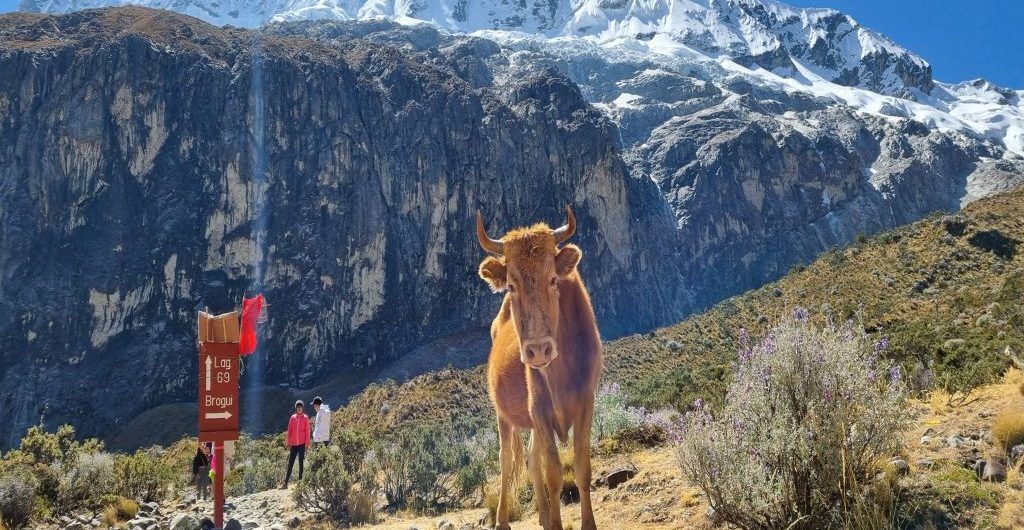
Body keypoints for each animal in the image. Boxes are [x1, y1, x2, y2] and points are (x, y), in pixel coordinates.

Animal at [475, 206, 602, 530]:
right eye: (511, 285)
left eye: (553, 279)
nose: (538, 350)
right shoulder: (540, 409)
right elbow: (553, 472)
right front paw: (555, 522)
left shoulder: (586, 400)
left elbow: (581, 465)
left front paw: (585, 523)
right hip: (504, 415)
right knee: (507, 460)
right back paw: (502, 520)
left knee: (531, 461)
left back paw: (544, 517)